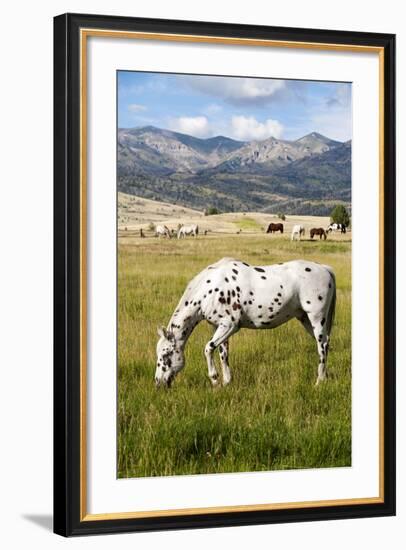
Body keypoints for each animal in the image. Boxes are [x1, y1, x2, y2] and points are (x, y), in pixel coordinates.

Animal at [155, 258, 336, 388]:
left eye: (166, 355)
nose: (158, 383)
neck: (208, 290)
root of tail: (325, 269)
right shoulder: (219, 327)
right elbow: (223, 353)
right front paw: (226, 382)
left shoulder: (230, 326)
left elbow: (208, 349)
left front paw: (215, 380)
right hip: (305, 319)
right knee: (324, 345)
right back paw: (325, 377)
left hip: (316, 318)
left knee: (322, 346)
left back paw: (319, 382)